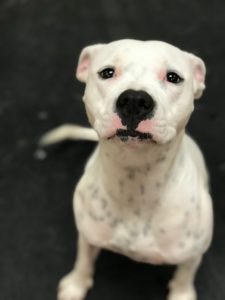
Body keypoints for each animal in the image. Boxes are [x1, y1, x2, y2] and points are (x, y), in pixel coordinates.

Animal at [40, 39, 213, 300]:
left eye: (173, 77)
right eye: (107, 72)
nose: (134, 100)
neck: (136, 181)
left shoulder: (192, 255)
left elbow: (184, 277)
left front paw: (182, 294)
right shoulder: (87, 234)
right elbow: (83, 260)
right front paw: (76, 284)